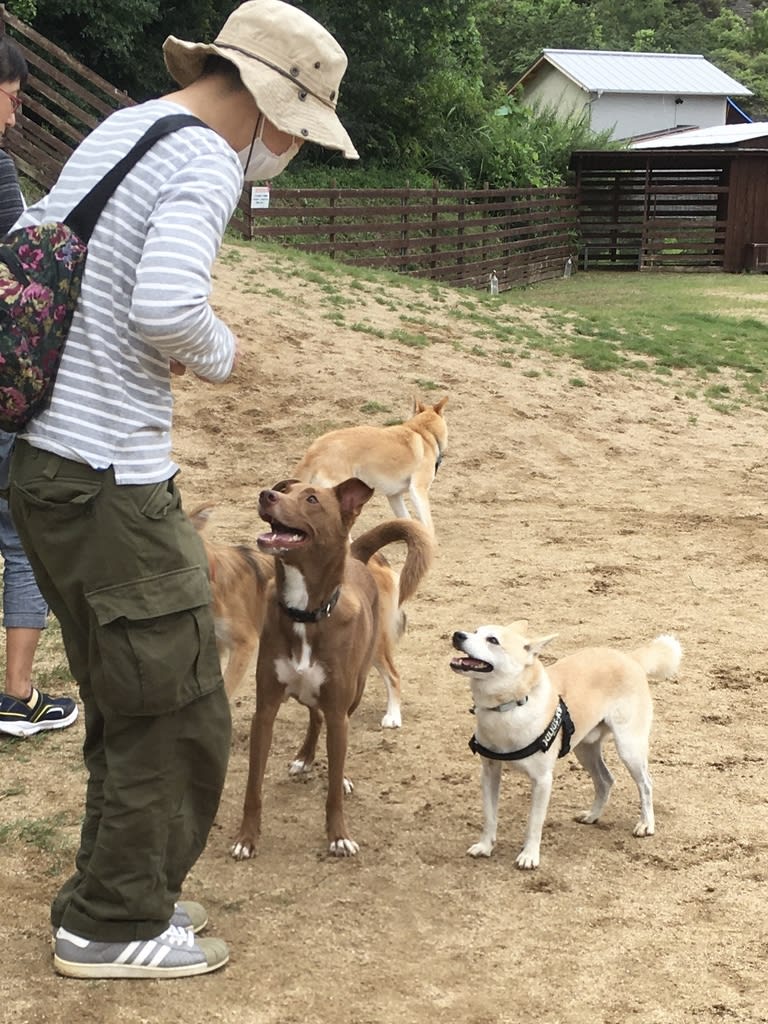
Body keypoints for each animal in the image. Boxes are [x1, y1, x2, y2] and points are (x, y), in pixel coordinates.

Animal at [230, 475, 434, 860]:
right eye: (285, 489)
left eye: (311, 499)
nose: (267, 494)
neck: (304, 614)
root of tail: (356, 556)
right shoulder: (265, 710)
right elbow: (252, 786)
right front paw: (246, 839)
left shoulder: (340, 710)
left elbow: (334, 792)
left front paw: (338, 836)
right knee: (314, 715)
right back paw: (305, 757)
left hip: (357, 687)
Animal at [290, 391, 448, 536]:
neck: (424, 433)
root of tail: (314, 450)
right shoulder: (418, 490)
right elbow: (428, 524)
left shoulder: (394, 496)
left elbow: (406, 518)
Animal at [450, 618, 684, 868]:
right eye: (475, 631)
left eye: (492, 640)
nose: (457, 635)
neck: (509, 707)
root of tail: (631, 658)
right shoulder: (490, 771)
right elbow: (489, 815)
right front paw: (485, 846)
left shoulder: (542, 780)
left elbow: (534, 822)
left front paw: (529, 856)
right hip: (584, 749)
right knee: (605, 780)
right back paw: (592, 816)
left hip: (629, 747)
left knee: (645, 784)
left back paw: (646, 824)